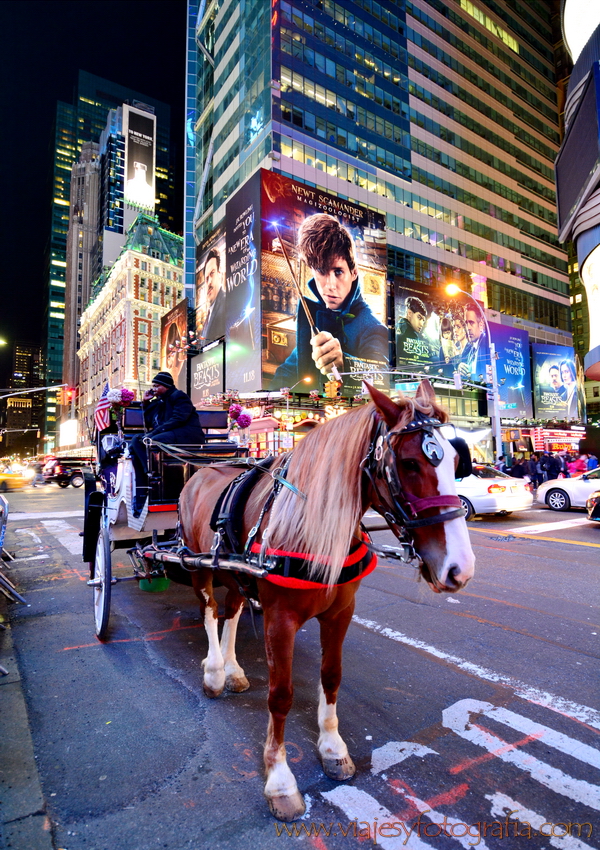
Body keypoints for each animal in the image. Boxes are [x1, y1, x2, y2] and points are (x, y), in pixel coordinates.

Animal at [178, 380, 474, 820]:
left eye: (456, 461)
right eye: (408, 464)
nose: (460, 568)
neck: (310, 527)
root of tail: (203, 469)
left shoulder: (340, 612)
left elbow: (331, 676)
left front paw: (333, 748)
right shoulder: (279, 620)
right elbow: (280, 695)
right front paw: (280, 779)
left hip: (235, 573)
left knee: (231, 610)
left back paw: (232, 669)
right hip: (198, 563)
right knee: (210, 611)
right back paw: (214, 671)